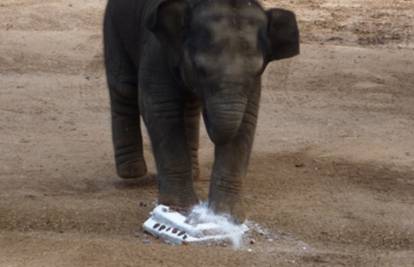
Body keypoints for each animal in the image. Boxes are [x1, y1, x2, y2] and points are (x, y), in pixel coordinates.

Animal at [103, 0, 298, 222]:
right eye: (200, 69)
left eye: (258, 69)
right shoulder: (156, 49)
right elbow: (160, 108)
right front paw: (178, 208)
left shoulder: (253, 84)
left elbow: (247, 119)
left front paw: (226, 216)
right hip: (114, 25)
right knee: (123, 87)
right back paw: (132, 172)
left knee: (189, 106)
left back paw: (194, 172)